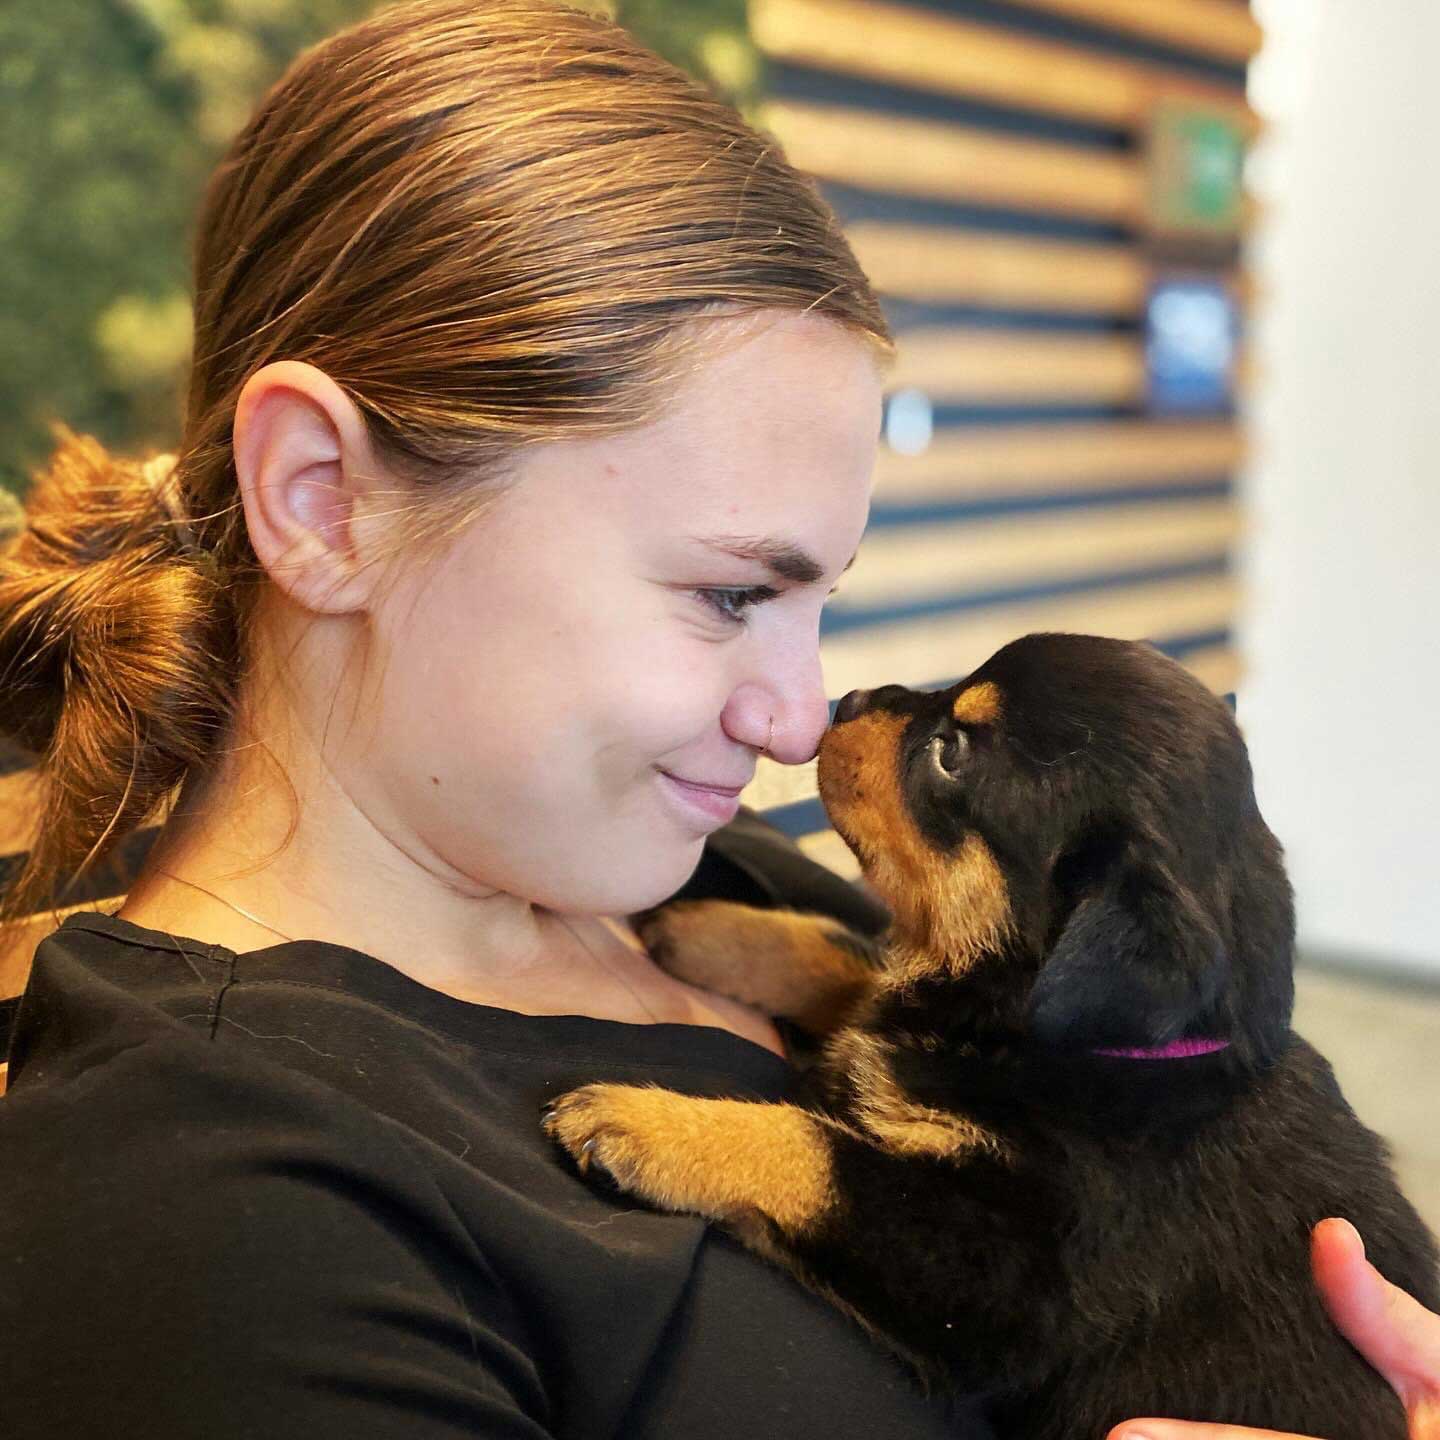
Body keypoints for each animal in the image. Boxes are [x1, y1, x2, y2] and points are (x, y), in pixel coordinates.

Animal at [541, 636, 1440, 1434]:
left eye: (950, 754)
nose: (849, 699)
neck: (1115, 1056)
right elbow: (842, 961)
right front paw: (708, 930)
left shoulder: (998, 1283)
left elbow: (816, 1148)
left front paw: (642, 1121)